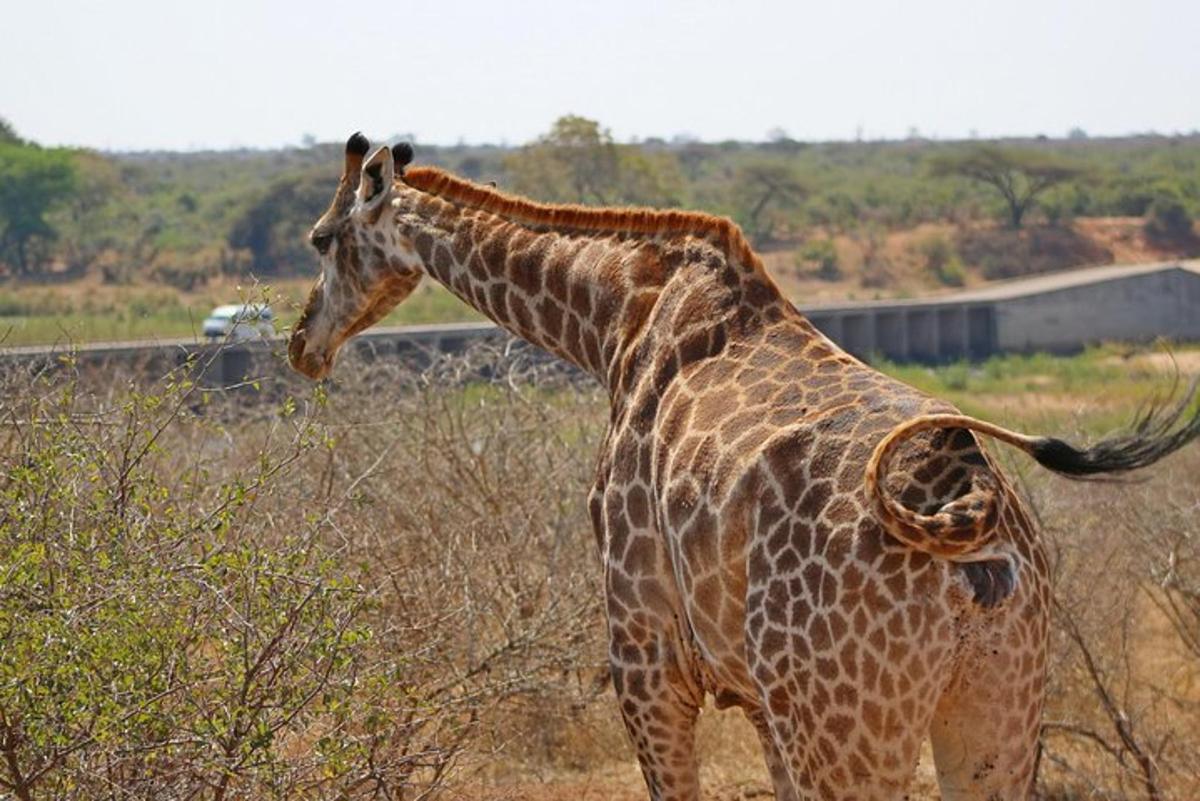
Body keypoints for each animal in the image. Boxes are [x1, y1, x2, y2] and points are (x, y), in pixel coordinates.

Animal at [288, 133, 1200, 801]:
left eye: (321, 238)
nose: (301, 344)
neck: (609, 320)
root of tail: (966, 502)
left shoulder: (645, 652)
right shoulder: (761, 699)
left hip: (848, 723)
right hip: (998, 708)